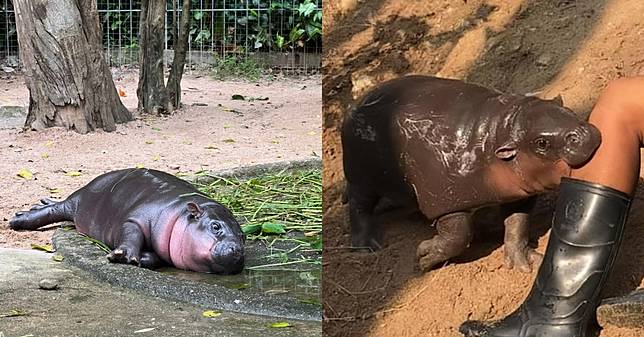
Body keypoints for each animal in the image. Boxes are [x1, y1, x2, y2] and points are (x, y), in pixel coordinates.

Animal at [344, 75, 600, 272]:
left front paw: (526, 263)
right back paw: (367, 246)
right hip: (361, 177)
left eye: (567, 110)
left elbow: (517, 223)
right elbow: (459, 236)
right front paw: (423, 258)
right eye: (542, 143)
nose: (584, 134)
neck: (499, 132)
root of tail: (354, 105)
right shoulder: (445, 201)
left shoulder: (518, 193)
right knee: (358, 206)